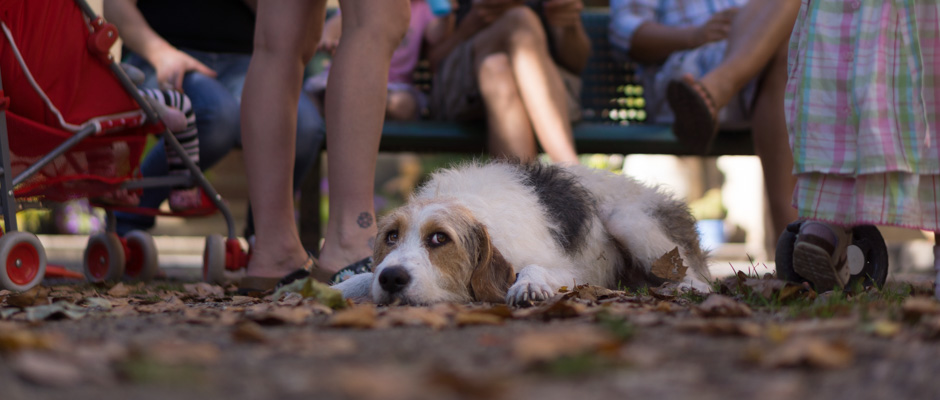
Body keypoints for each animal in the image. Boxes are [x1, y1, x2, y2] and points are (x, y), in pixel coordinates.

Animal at [334, 161, 708, 304]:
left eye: (440, 238)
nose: (392, 279)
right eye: (391, 236)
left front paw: (528, 285)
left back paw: (686, 288)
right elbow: (362, 277)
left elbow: (534, 267)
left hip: (628, 220)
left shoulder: (570, 271)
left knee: (700, 278)